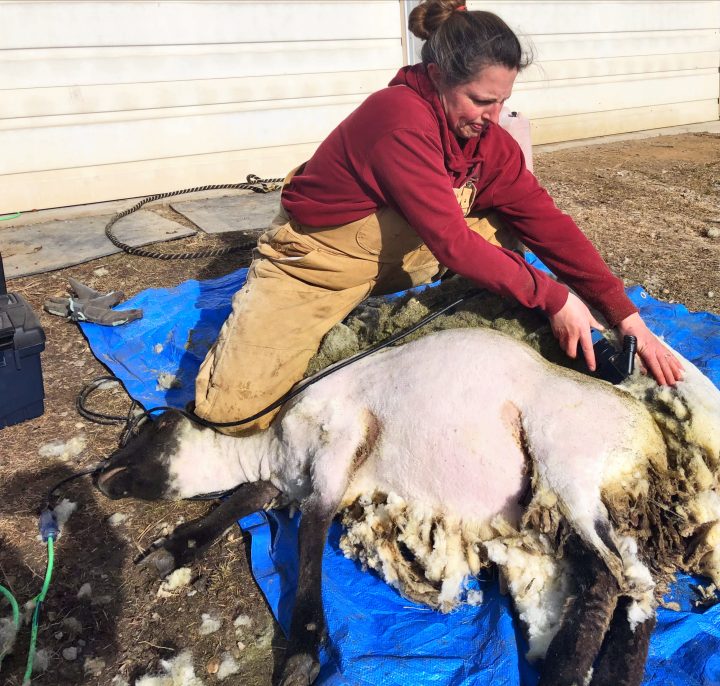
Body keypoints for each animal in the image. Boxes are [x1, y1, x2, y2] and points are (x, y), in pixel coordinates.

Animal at [94, 325, 720, 686]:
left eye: (149, 429)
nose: (99, 477)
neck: (269, 446)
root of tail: (651, 435)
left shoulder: (339, 448)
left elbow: (310, 535)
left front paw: (302, 652)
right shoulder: (287, 479)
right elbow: (234, 503)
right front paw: (168, 552)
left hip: (569, 467)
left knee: (617, 579)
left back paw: (568, 674)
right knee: (625, 586)